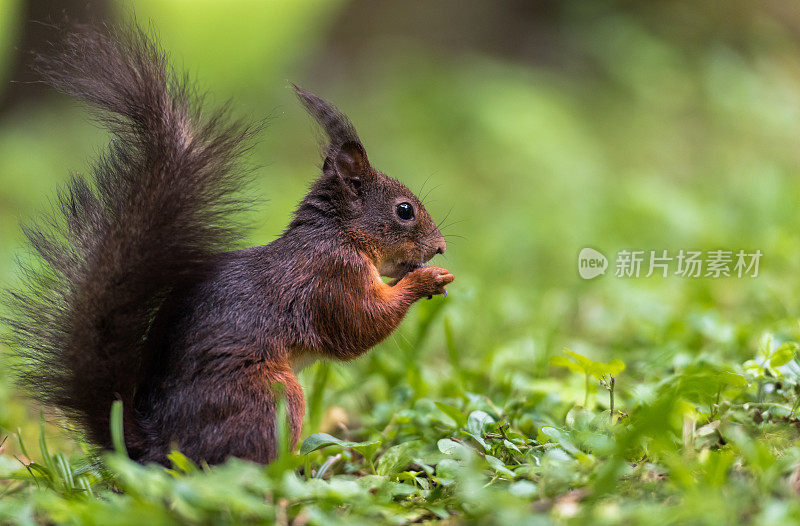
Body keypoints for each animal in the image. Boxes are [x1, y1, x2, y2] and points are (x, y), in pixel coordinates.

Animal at [3, 26, 454, 468]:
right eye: (405, 210)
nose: (441, 247)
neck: (337, 234)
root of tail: (156, 447)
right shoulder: (329, 277)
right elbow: (361, 326)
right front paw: (427, 280)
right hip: (269, 395)